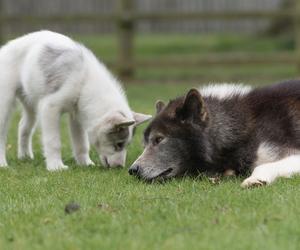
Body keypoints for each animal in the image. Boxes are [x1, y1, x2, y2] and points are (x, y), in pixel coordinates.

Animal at [0, 30, 151, 171]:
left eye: (126, 145)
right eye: (119, 144)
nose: (120, 167)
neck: (84, 82)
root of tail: (6, 47)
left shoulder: (77, 116)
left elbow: (81, 144)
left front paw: (86, 163)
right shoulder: (50, 108)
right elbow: (53, 141)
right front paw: (56, 167)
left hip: (31, 104)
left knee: (23, 127)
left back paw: (25, 157)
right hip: (5, 103)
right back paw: (3, 164)